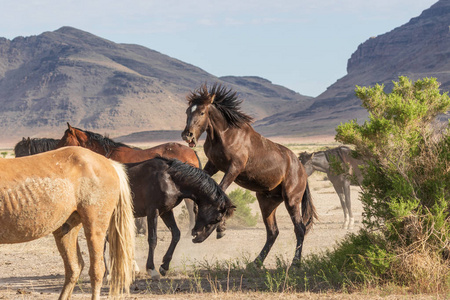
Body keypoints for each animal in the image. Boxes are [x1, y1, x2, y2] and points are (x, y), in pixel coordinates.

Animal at [181, 84, 318, 268]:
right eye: (188, 111)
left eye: (202, 112)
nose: (187, 134)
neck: (225, 134)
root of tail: (301, 170)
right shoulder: (213, 165)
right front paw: (204, 229)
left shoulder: (234, 168)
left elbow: (220, 191)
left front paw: (219, 228)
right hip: (267, 203)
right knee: (273, 232)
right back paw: (256, 262)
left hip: (291, 200)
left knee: (300, 229)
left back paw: (295, 263)